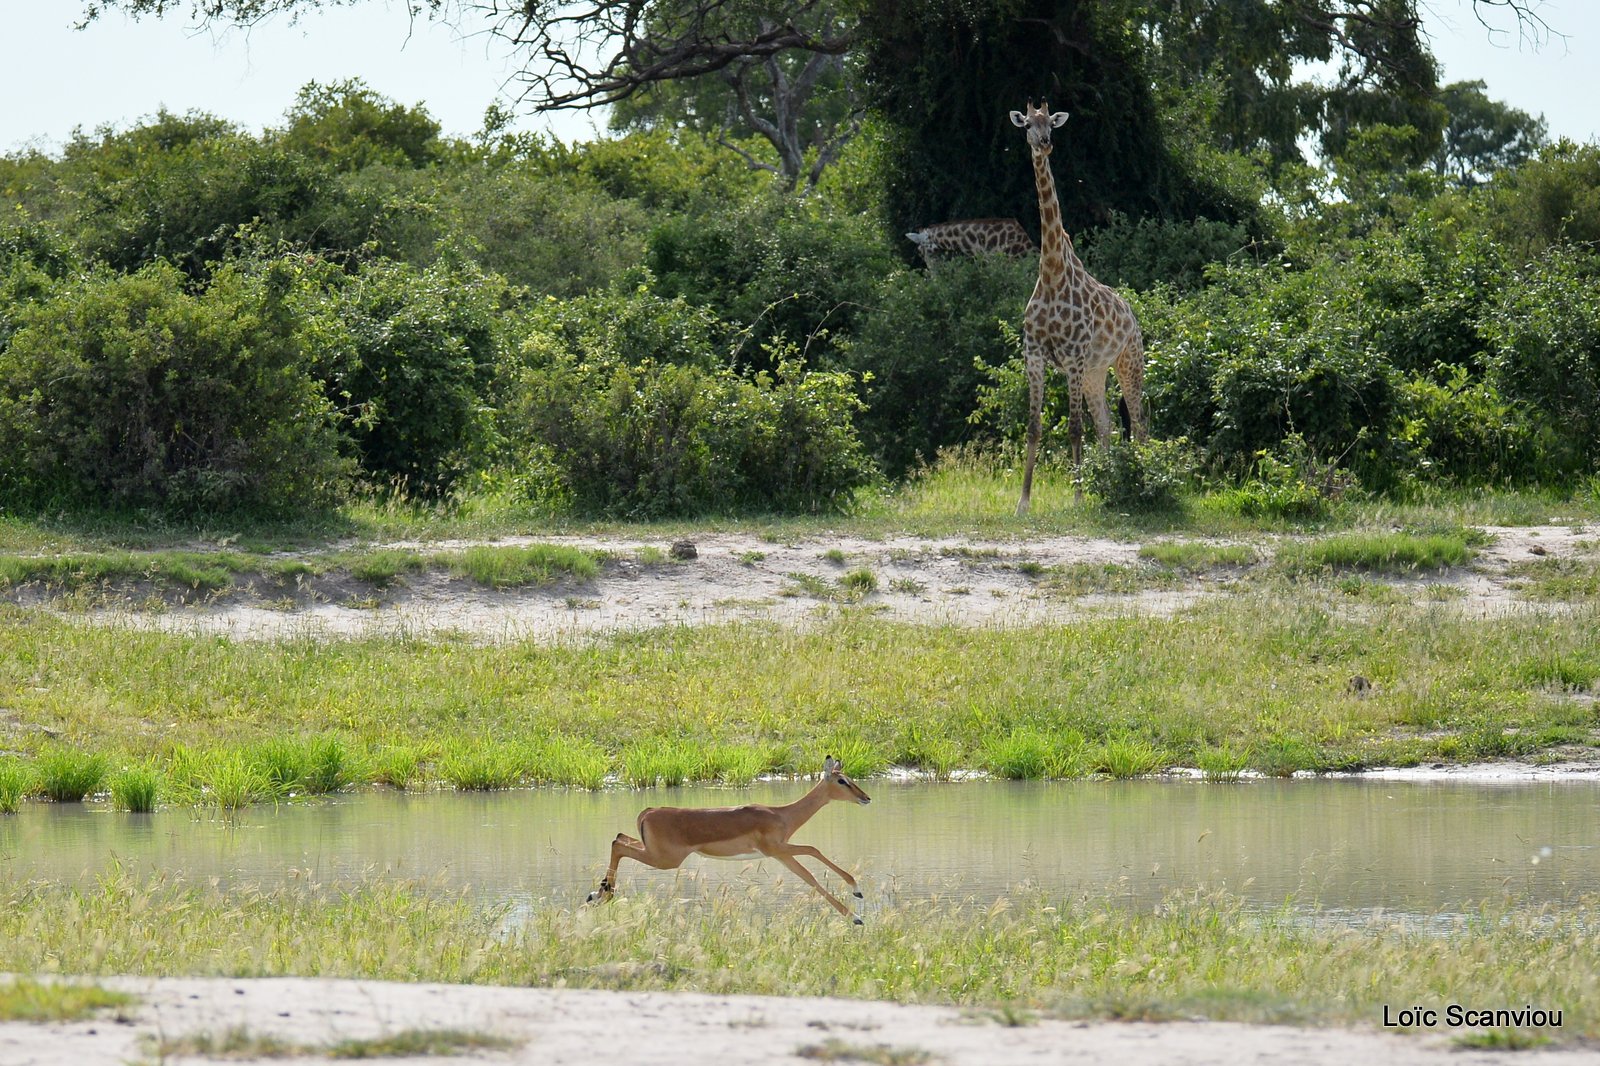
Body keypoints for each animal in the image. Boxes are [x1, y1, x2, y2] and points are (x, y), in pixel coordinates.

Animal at [1004, 101, 1145, 512]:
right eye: (1027, 126)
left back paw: (1144, 478)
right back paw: (1111, 482)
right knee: (1107, 424)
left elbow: (1073, 427)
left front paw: (1079, 497)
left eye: (1051, 124)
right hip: (1097, 372)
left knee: (1140, 423)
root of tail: (1133, 317)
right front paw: (1022, 503)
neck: (1051, 273)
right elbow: (1034, 427)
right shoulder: (1035, 354)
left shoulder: (1073, 356)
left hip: (1128, 361)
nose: (1045, 144)